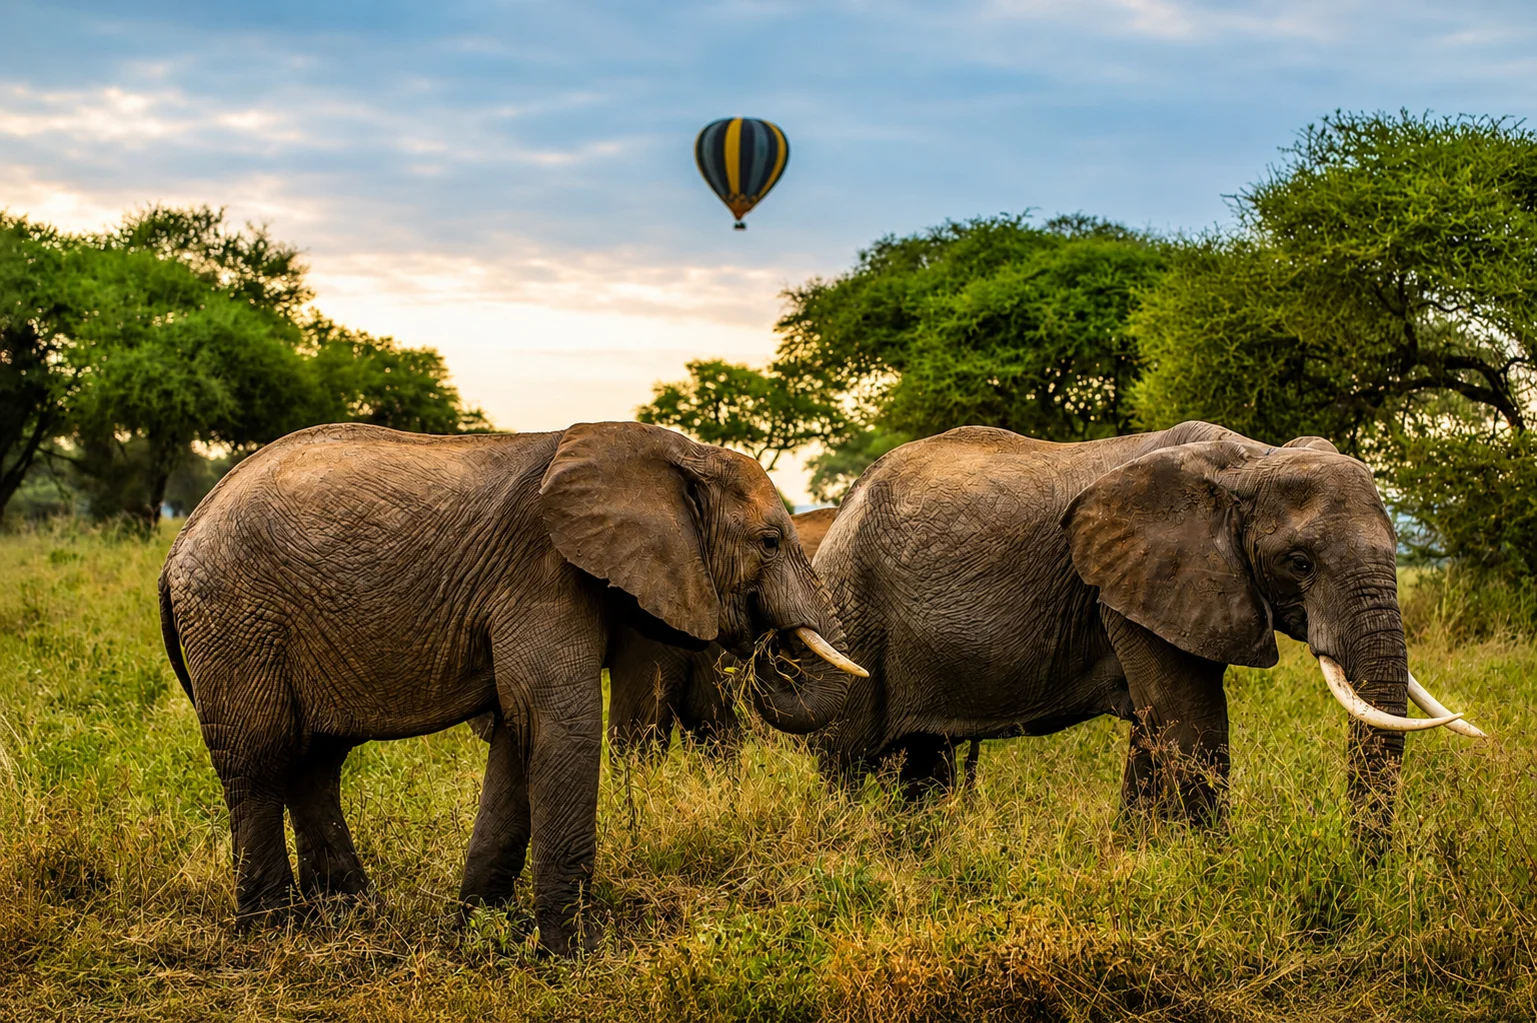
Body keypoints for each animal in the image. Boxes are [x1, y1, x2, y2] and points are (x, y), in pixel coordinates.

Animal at [799, 420, 1484, 830]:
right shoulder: (1134, 583)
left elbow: (1159, 734)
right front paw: (1211, 877)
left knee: (924, 762)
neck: (1249, 460)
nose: (1364, 869)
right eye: (1300, 563)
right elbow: (1194, 728)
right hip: (850, 617)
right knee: (844, 762)